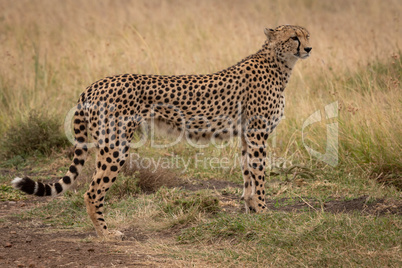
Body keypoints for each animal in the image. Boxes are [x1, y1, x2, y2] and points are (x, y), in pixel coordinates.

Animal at [11, 25, 310, 239]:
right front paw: (264, 212)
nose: (308, 48)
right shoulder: (258, 134)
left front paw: (252, 211)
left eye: (307, 35)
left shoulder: (248, 135)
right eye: (294, 37)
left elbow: (248, 175)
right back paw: (106, 234)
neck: (278, 63)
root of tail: (95, 84)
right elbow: (259, 175)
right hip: (115, 146)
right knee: (92, 191)